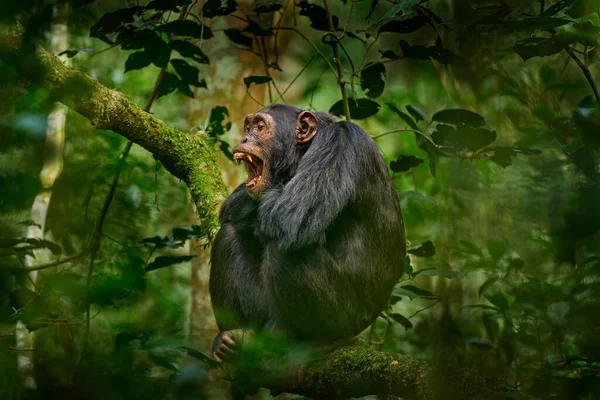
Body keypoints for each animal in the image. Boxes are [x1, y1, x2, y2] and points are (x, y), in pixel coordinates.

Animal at [209, 104, 406, 364]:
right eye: (248, 127)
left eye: (260, 127)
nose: (244, 138)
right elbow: (235, 207)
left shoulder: (339, 145)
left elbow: (289, 216)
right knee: (228, 236)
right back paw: (229, 340)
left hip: (343, 318)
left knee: (285, 249)